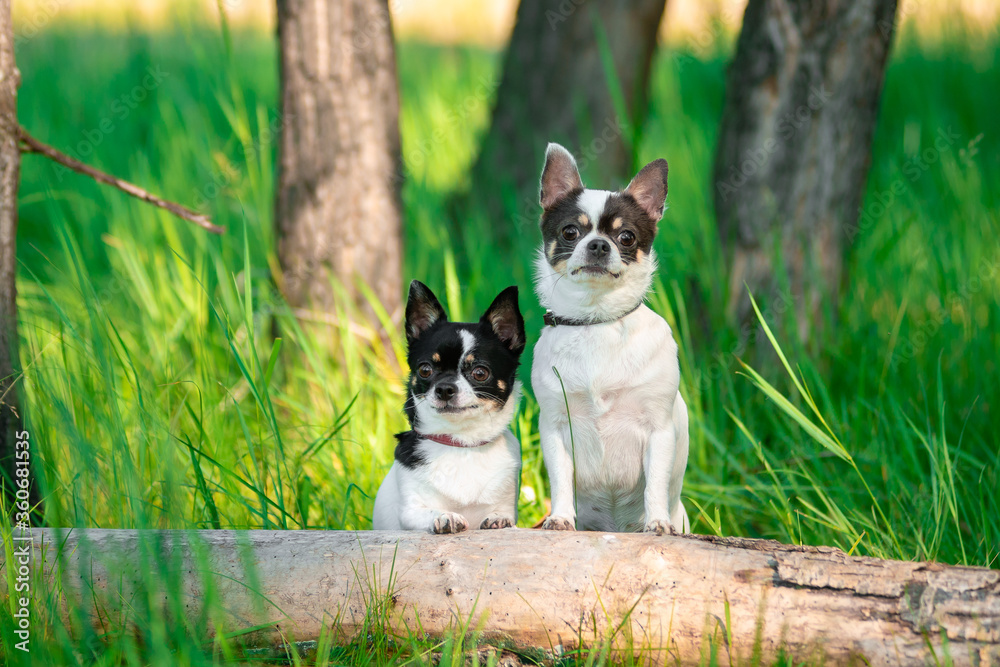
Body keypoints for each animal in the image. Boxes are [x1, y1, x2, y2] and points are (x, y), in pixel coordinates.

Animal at [370, 280, 524, 532]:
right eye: (425, 370)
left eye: (480, 373)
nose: (444, 388)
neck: (460, 443)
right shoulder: (410, 512)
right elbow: (427, 511)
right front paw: (445, 516)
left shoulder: (506, 502)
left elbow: (503, 515)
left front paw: (498, 519)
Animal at [532, 144, 688, 536]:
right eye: (570, 232)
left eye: (626, 237)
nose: (599, 245)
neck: (596, 322)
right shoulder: (555, 428)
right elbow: (560, 480)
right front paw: (560, 518)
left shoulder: (658, 431)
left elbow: (655, 484)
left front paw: (658, 522)